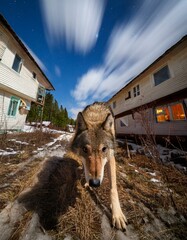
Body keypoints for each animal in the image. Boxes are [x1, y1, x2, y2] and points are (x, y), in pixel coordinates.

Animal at [71, 101, 128, 231]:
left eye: (104, 149)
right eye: (85, 149)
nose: (95, 183)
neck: (95, 117)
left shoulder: (111, 157)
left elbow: (113, 188)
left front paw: (117, 214)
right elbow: (85, 169)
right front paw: (87, 182)